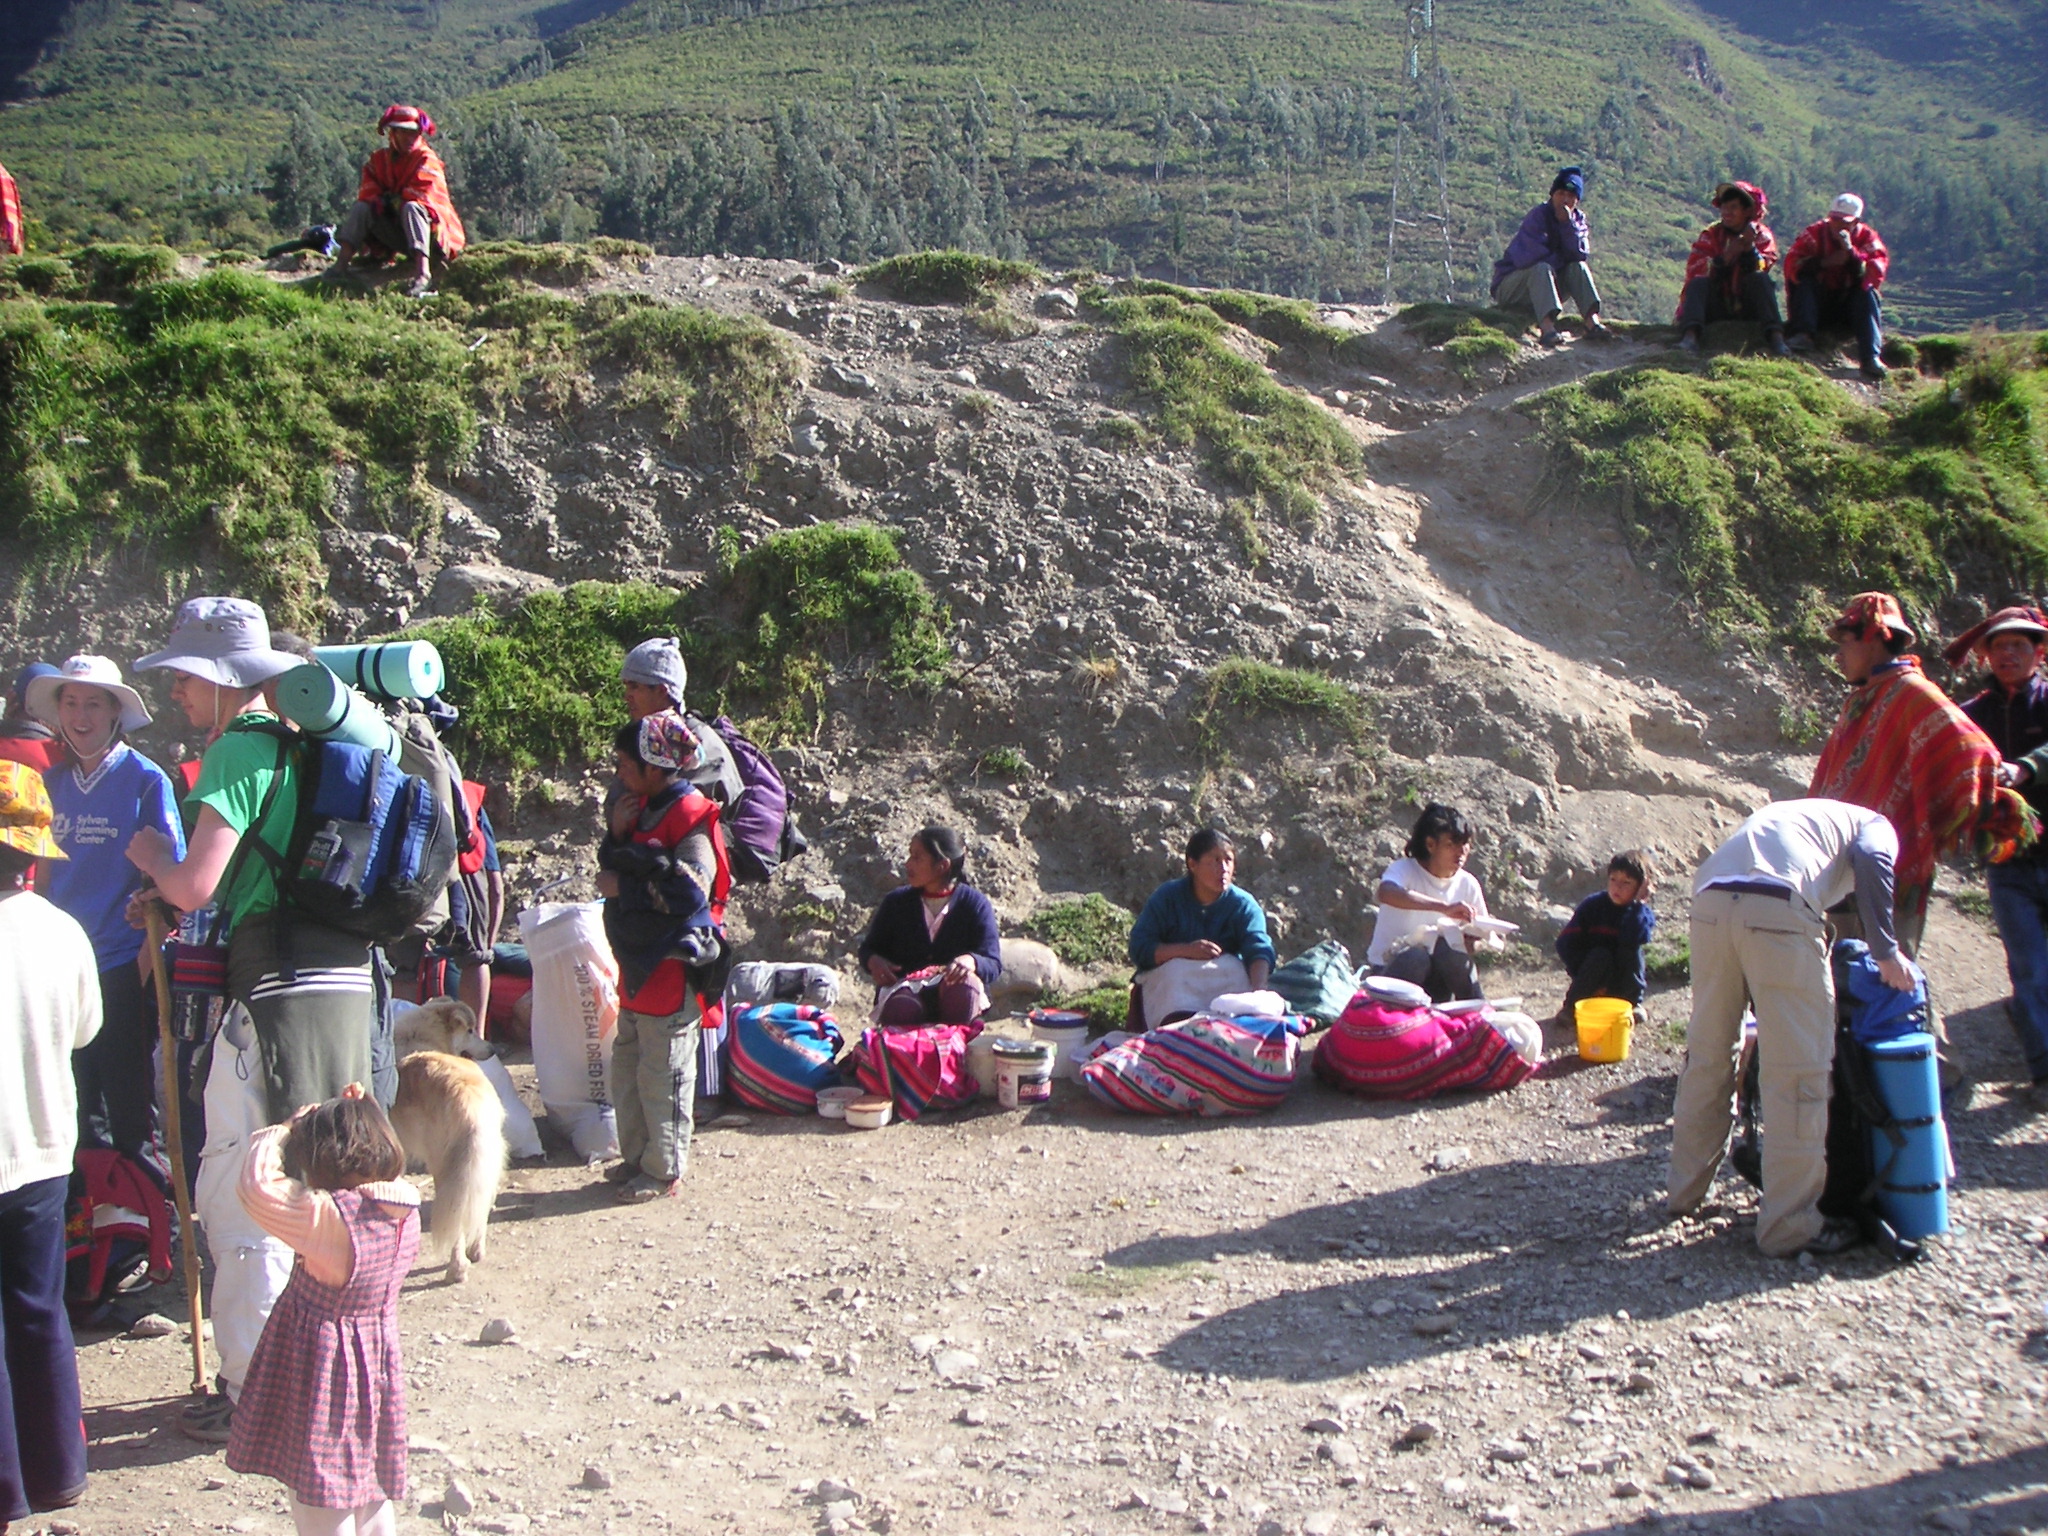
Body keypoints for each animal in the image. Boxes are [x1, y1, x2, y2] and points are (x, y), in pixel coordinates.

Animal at [387, 999, 507, 1286]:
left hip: (445, 1170)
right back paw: (476, 1250)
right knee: (479, 1207)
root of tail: (467, 1098)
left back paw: (457, 1269)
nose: (493, 1049)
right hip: (485, 1161)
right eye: (471, 1030)